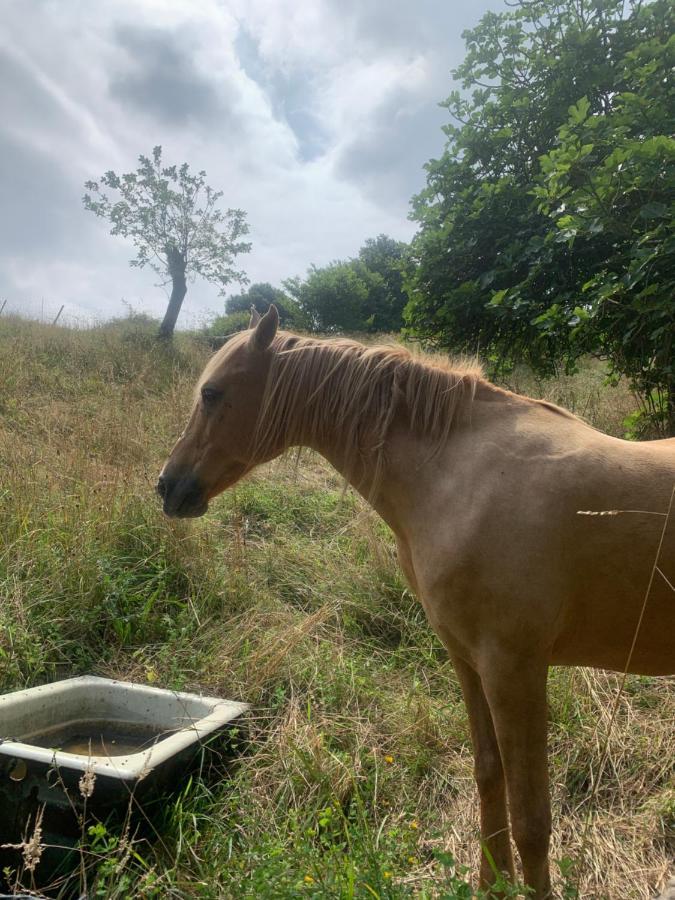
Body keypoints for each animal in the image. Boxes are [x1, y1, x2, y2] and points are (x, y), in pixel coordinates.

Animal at [160, 306, 675, 896]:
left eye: (213, 393)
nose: (167, 486)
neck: (457, 479)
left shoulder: (516, 670)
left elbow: (532, 819)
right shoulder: (469, 662)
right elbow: (489, 777)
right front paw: (490, 885)